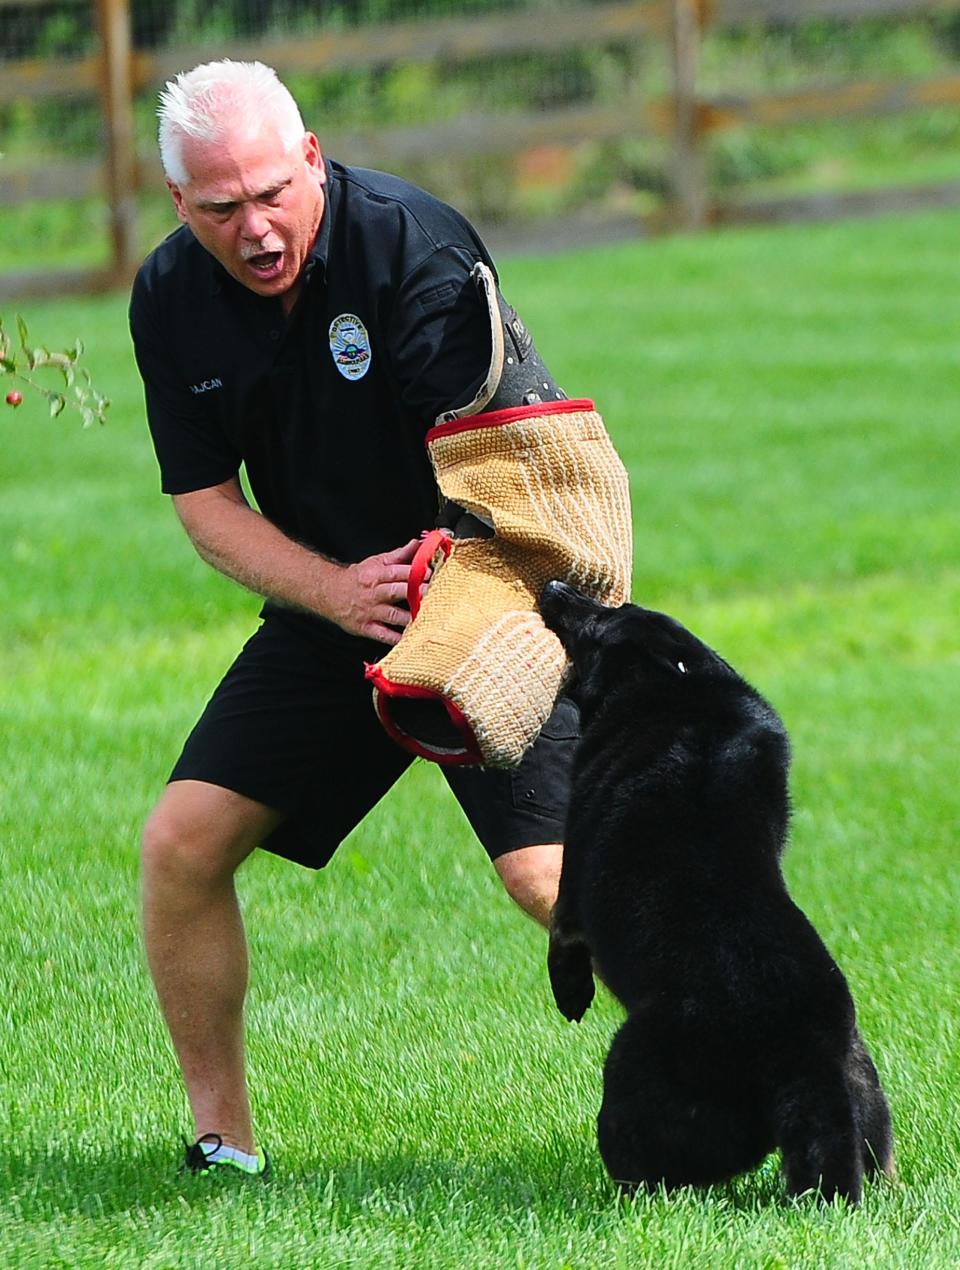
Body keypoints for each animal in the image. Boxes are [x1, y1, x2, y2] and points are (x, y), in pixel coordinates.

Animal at [540, 581, 893, 1203]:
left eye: (605, 618)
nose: (555, 587)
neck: (680, 694)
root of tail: (808, 1060)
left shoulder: (573, 875)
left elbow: (563, 937)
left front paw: (570, 993)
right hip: (863, 1085)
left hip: (632, 1078)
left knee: (647, 1174)